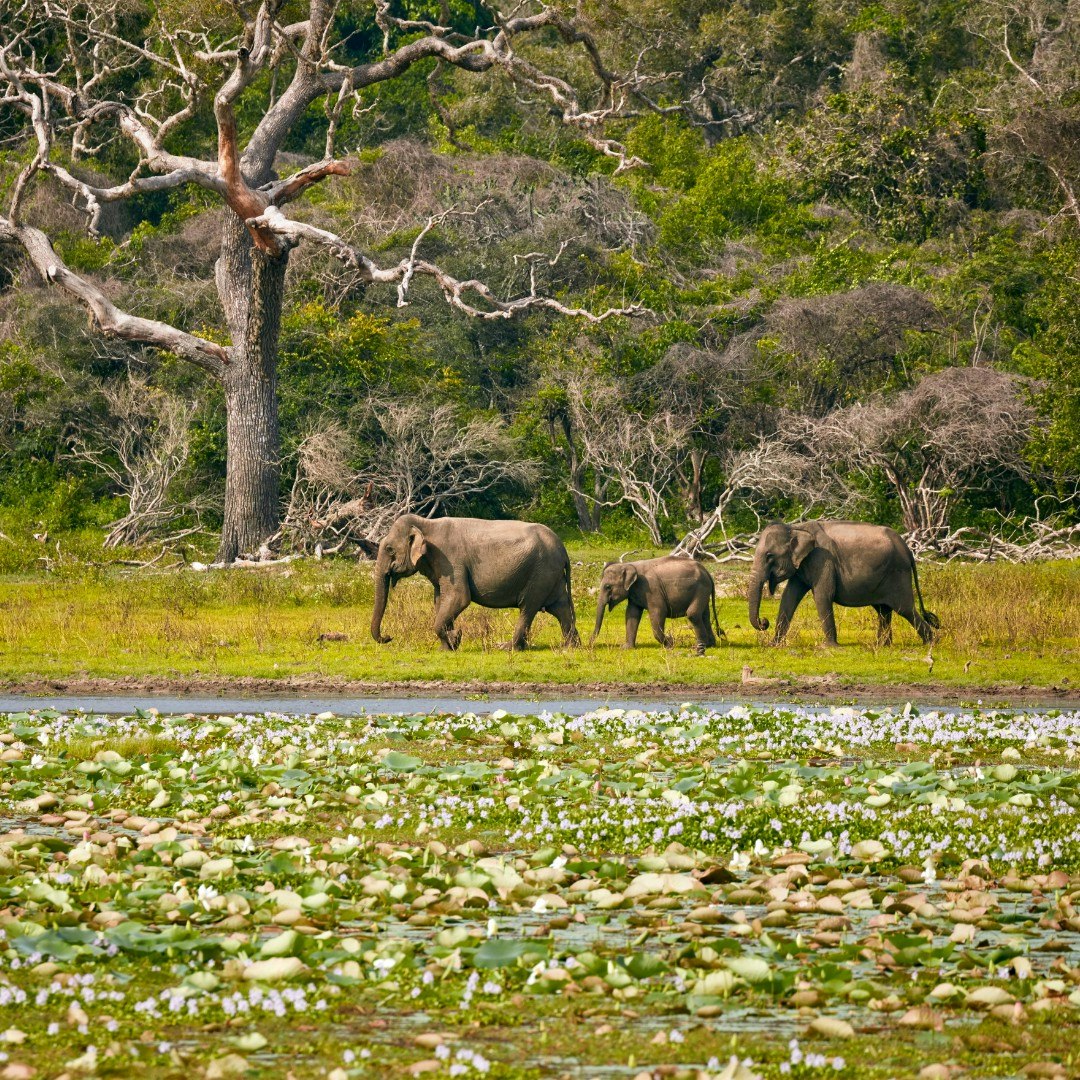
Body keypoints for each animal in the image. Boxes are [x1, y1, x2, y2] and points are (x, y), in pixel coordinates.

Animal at [371, 514, 580, 651]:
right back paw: (571, 646)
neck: (425, 523)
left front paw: (455, 638)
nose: (388, 637)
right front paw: (448, 646)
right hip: (551, 575)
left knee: (528, 607)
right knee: (560, 607)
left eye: (389, 549)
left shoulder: (451, 560)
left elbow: (459, 598)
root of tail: (563, 549)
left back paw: (506, 647)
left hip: (540, 573)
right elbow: (440, 600)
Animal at [589, 556, 723, 654]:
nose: (590, 644)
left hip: (701, 589)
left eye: (608, 587)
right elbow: (632, 614)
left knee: (693, 614)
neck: (629, 564)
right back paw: (710, 645)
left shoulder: (651, 589)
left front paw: (670, 643)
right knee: (705, 615)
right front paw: (626, 648)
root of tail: (707, 572)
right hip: (703, 591)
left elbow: (658, 612)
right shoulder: (634, 593)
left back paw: (699, 647)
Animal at [747, 519, 940, 646]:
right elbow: (789, 597)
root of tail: (907, 548)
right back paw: (882, 646)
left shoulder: (822, 559)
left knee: (904, 609)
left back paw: (931, 643)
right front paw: (774, 645)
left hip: (898, 573)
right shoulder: (802, 565)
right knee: (884, 610)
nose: (764, 622)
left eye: (769, 556)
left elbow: (822, 596)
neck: (795, 528)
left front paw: (828, 647)